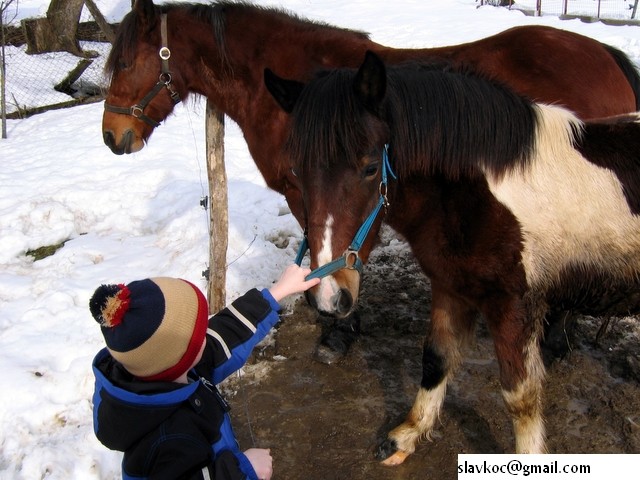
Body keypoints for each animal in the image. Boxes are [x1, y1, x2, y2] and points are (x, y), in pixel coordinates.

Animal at [262, 52, 640, 464]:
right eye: (297, 171)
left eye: (370, 168)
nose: (329, 297)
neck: (474, 193)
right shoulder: (449, 286)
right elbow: (435, 358)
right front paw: (405, 437)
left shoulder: (514, 305)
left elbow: (520, 396)